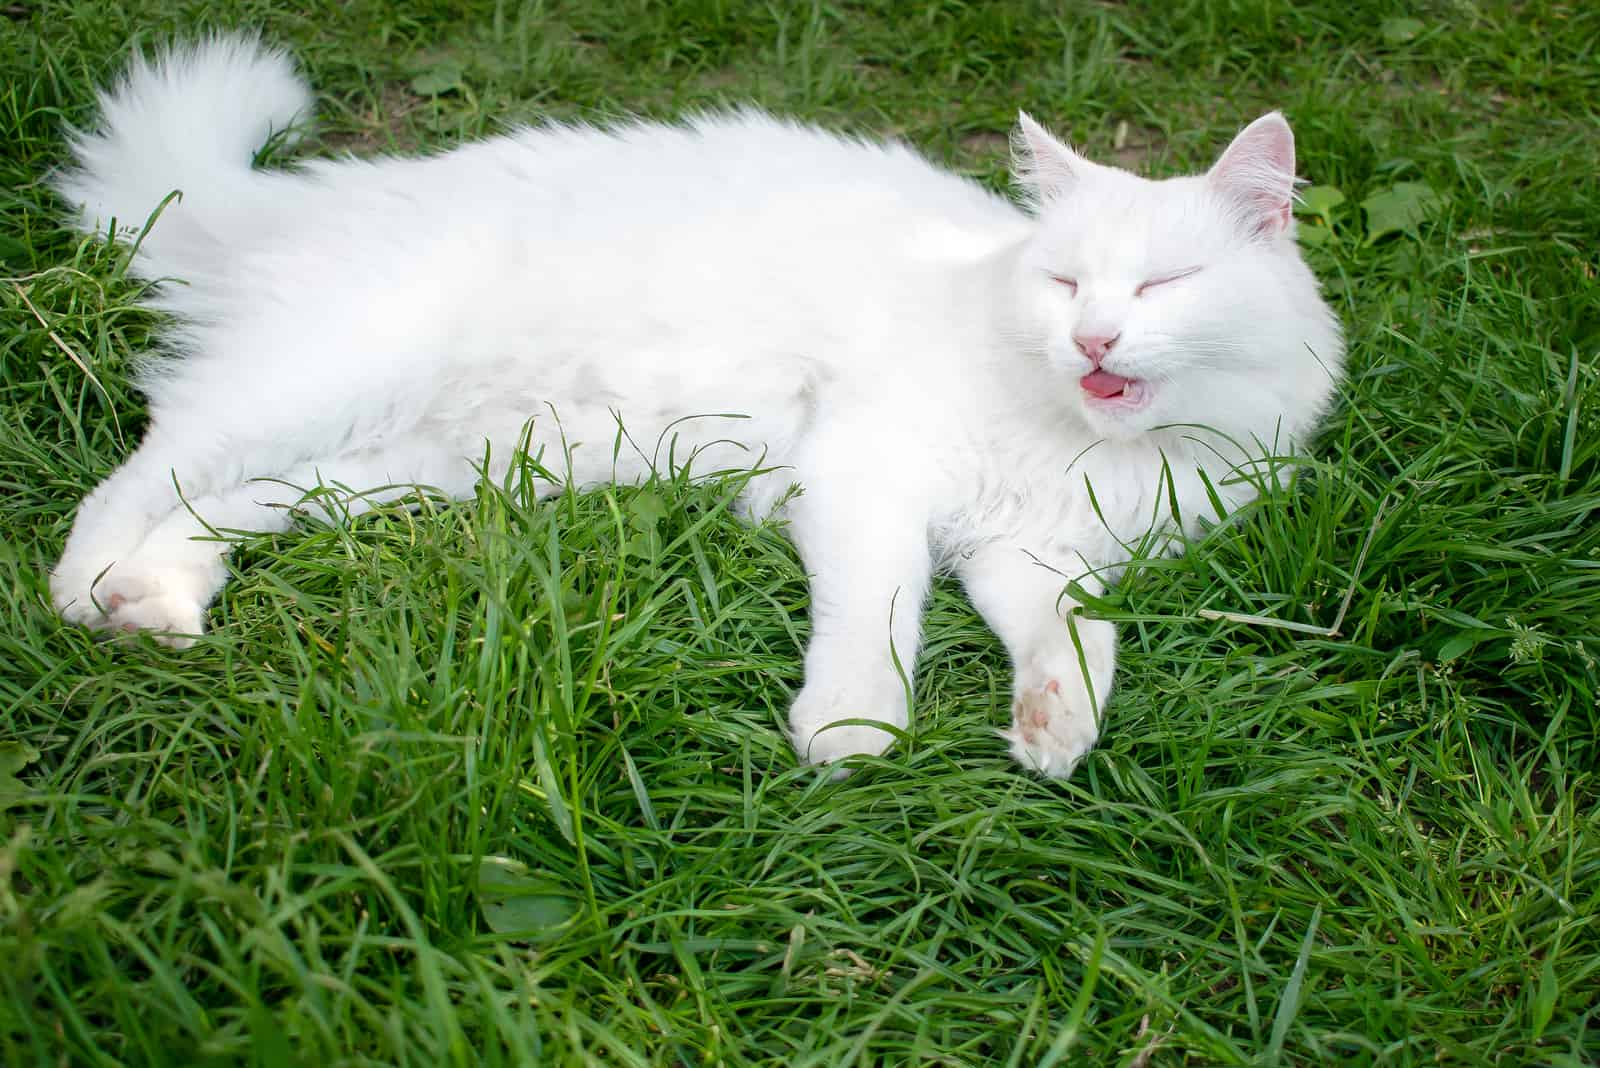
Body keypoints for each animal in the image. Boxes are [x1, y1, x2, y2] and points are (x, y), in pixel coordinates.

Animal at [50, 37, 1344, 780]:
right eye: (1068, 282)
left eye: (1163, 285)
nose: (1092, 339)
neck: (1077, 444)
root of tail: (320, 195)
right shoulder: (865, 480)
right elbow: (881, 614)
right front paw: (853, 729)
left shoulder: (1030, 554)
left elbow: (1076, 639)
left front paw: (1051, 731)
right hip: (329, 378)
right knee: (144, 468)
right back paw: (85, 594)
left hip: (421, 459)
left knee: (231, 504)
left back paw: (156, 600)